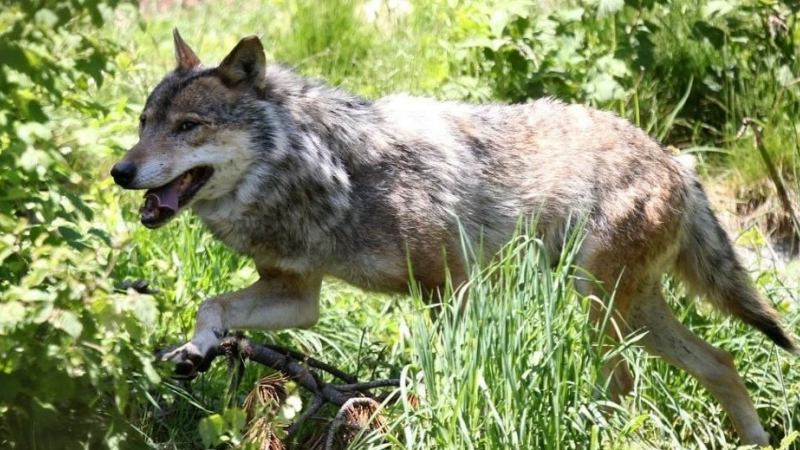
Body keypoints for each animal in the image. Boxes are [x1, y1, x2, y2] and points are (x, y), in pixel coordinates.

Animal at [111, 29, 796, 446]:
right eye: (144, 123)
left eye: (189, 126)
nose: (120, 171)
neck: (330, 172)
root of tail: (676, 162)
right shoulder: (301, 297)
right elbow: (213, 306)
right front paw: (196, 350)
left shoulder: (453, 289)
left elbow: (445, 374)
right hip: (631, 311)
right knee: (722, 361)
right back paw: (759, 441)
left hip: (600, 309)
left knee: (629, 384)